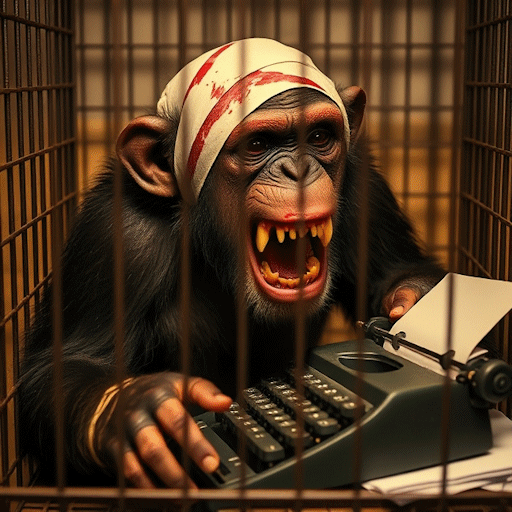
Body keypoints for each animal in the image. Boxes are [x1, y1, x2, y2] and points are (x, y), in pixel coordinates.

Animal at [19, 39, 444, 488]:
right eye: (257, 145)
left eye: (318, 137)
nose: (298, 168)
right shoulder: (115, 235)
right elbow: (70, 361)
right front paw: (137, 408)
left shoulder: (365, 190)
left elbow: (394, 272)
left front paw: (412, 304)